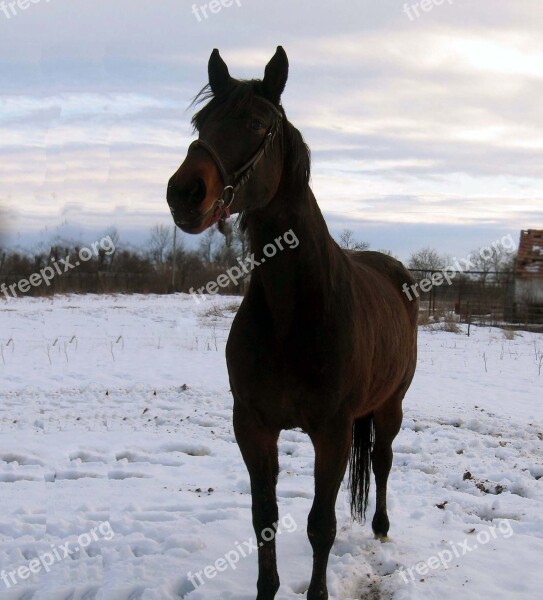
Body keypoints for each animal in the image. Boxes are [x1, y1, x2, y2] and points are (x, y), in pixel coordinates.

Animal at [168, 47, 418, 600]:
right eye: (201, 121)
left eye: (256, 123)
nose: (184, 193)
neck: (294, 311)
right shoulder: (252, 424)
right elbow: (265, 517)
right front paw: (267, 588)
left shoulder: (333, 430)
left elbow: (320, 524)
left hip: (390, 405)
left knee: (383, 460)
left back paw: (381, 527)